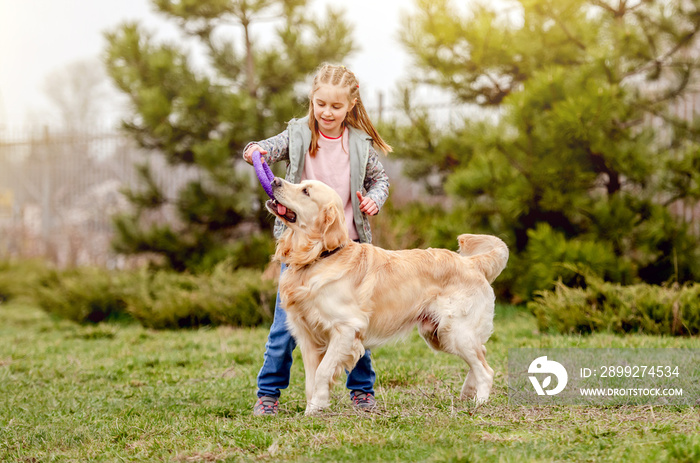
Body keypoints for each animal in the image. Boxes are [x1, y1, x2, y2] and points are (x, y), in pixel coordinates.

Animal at [266, 176, 506, 416]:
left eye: (306, 191)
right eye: (300, 183)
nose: (275, 180)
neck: (318, 256)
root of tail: (471, 262)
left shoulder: (346, 328)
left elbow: (323, 371)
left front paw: (316, 408)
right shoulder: (307, 336)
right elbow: (310, 379)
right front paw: (312, 410)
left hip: (456, 332)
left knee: (486, 369)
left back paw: (479, 403)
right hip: (439, 335)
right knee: (481, 353)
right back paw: (467, 393)